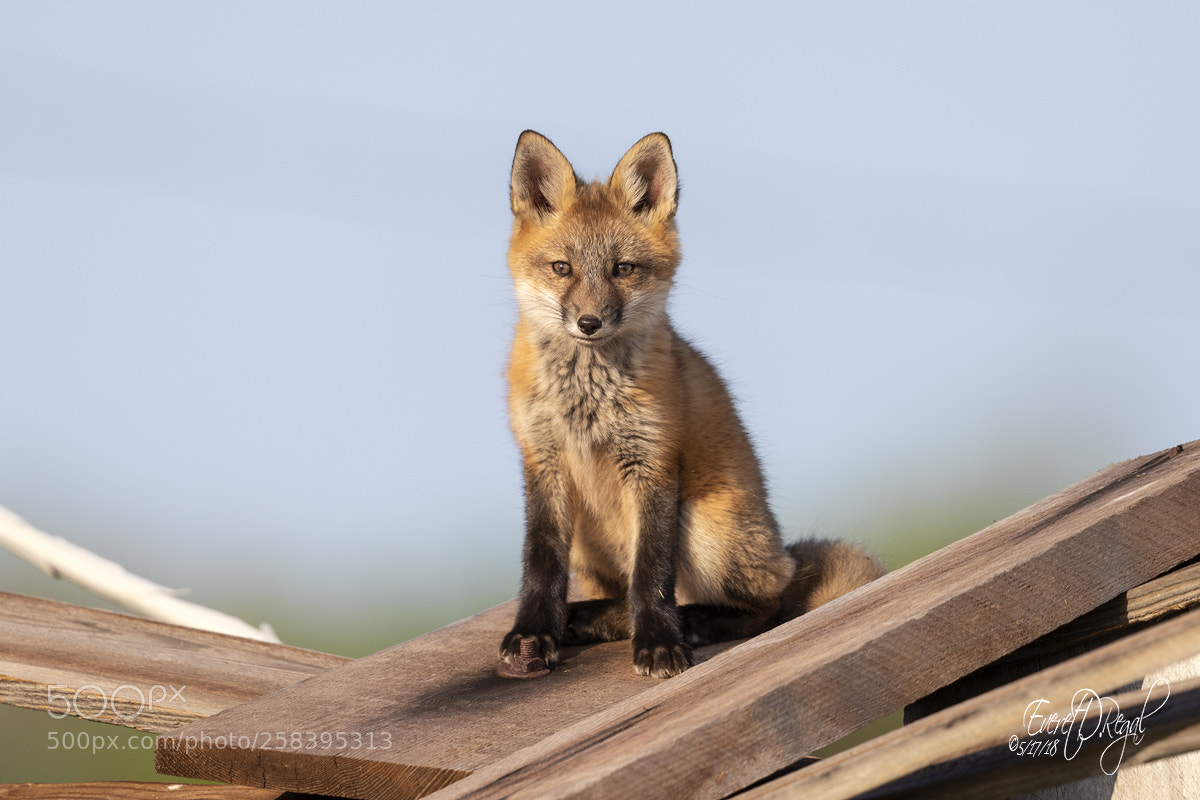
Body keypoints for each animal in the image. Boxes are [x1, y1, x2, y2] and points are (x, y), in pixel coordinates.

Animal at [498, 130, 885, 678]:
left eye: (622, 269)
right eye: (562, 269)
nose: (590, 323)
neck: (587, 398)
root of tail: (779, 553)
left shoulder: (654, 460)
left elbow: (651, 572)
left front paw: (660, 643)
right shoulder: (542, 460)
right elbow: (539, 564)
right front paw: (533, 634)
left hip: (704, 527)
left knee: (766, 606)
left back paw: (695, 621)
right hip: (590, 545)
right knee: (629, 597)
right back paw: (592, 619)